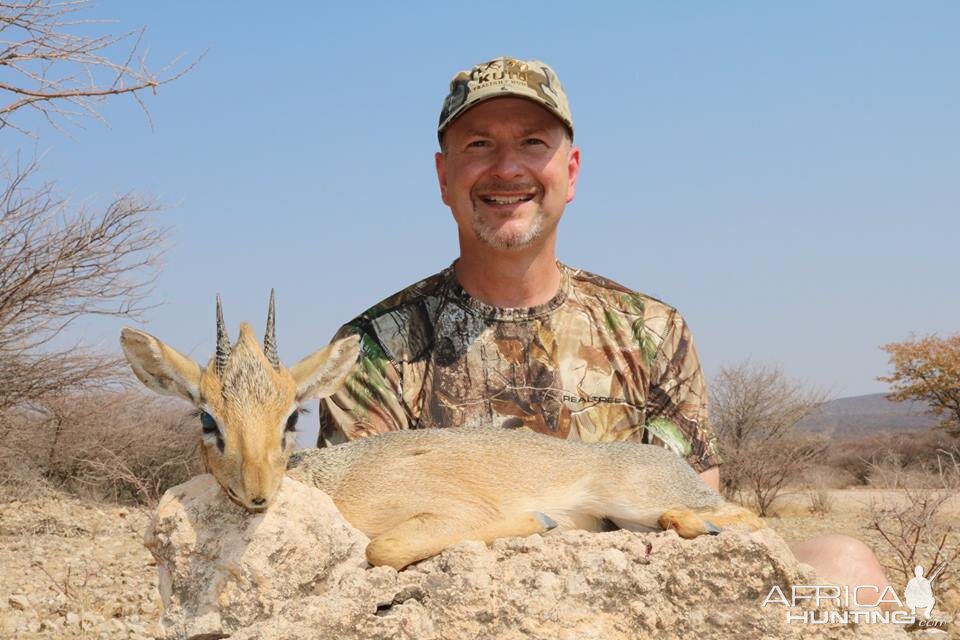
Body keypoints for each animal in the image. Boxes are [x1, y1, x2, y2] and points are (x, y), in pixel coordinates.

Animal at [120, 296, 764, 568]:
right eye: (208, 418)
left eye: (292, 417)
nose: (256, 494)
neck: (334, 486)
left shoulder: (442, 511)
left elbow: (382, 547)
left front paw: (538, 520)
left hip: (633, 495)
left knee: (747, 517)